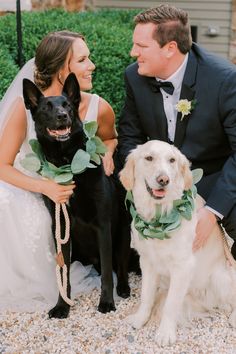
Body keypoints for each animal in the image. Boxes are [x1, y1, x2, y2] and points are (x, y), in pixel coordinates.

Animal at [22, 73, 130, 320]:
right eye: (46, 108)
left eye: (68, 106)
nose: (62, 116)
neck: (67, 162)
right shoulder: (61, 227)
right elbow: (64, 275)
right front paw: (62, 305)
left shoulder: (103, 225)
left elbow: (108, 274)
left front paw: (107, 302)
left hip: (122, 235)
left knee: (120, 266)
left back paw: (124, 288)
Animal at [120, 140, 236, 344]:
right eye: (149, 158)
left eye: (172, 160)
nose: (163, 180)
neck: (159, 219)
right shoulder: (147, 261)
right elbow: (146, 296)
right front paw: (140, 318)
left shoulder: (183, 266)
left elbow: (171, 304)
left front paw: (165, 333)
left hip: (220, 278)